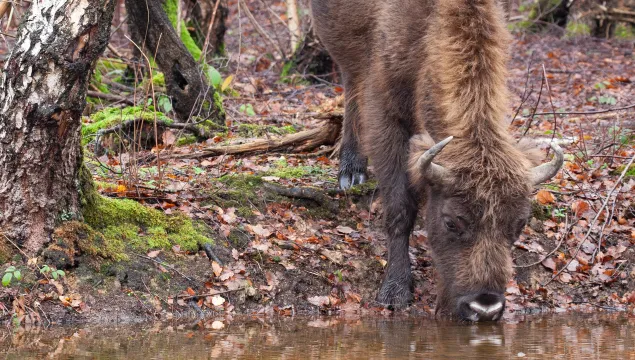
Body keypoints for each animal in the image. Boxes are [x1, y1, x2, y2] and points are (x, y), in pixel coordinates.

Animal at [310, 0, 564, 322]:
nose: (484, 308)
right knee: (351, 85)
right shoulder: (387, 116)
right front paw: (395, 291)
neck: (431, 28)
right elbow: (400, 210)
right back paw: (351, 173)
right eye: (451, 222)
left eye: (519, 224)